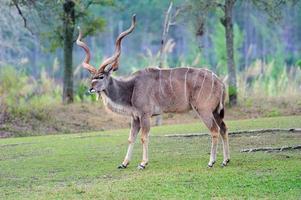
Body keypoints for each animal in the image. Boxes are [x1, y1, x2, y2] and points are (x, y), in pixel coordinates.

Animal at [76, 14, 229, 170]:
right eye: (92, 77)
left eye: (101, 76)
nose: (90, 88)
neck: (131, 87)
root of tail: (220, 82)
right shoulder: (135, 117)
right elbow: (131, 138)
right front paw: (124, 163)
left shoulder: (145, 115)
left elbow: (144, 137)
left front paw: (143, 163)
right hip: (215, 111)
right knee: (224, 128)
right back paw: (225, 160)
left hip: (204, 110)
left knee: (215, 130)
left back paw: (211, 162)